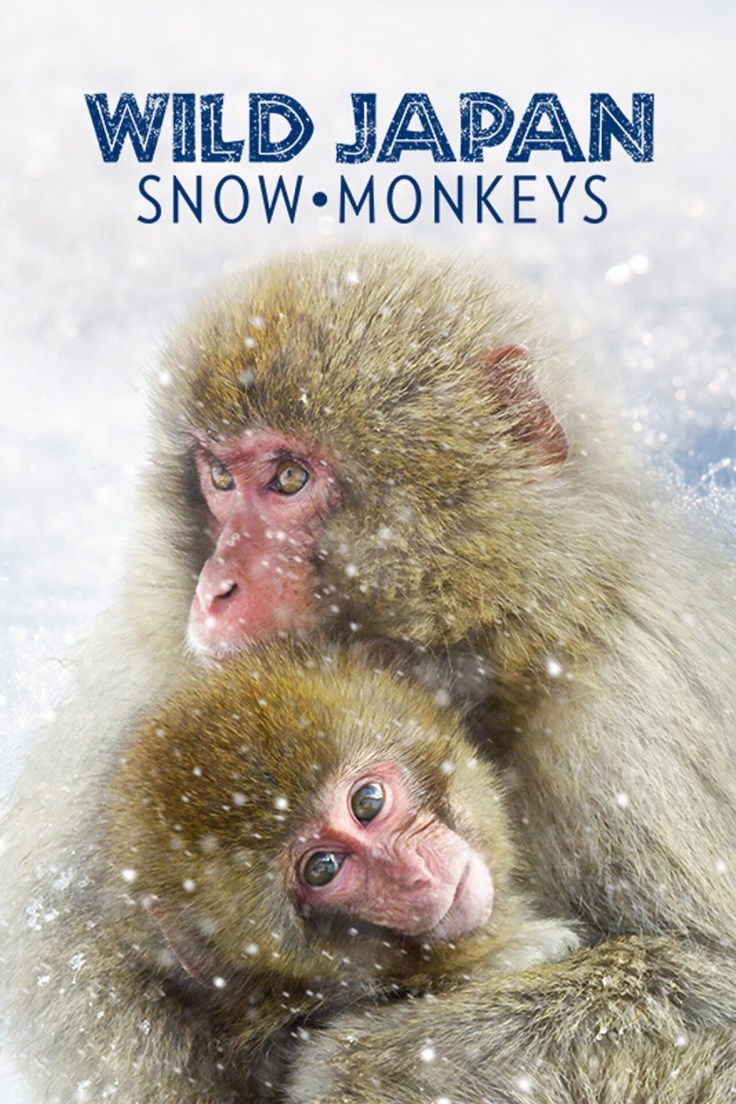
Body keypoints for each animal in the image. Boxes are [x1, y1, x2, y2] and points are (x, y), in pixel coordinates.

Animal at [3, 243, 736, 1097]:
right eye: (219, 478)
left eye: (288, 477)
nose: (215, 589)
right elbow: (57, 957)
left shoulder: (626, 723)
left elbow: (709, 981)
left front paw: (350, 1060)